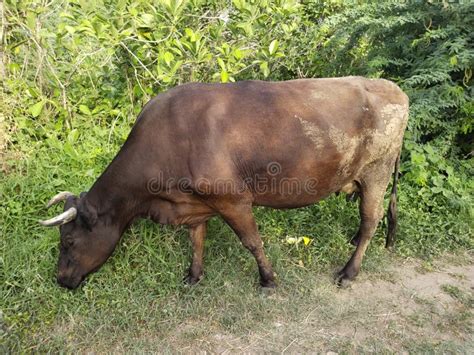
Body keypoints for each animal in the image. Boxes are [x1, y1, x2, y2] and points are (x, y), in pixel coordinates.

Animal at [39, 77, 408, 290]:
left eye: (68, 241)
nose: (60, 280)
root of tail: (395, 88)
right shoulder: (196, 201)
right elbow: (197, 239)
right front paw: (194, 276)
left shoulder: (233, 199)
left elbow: (252, 242)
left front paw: (268, 279)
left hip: (377, 170)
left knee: (371, 220)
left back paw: (349, 272)